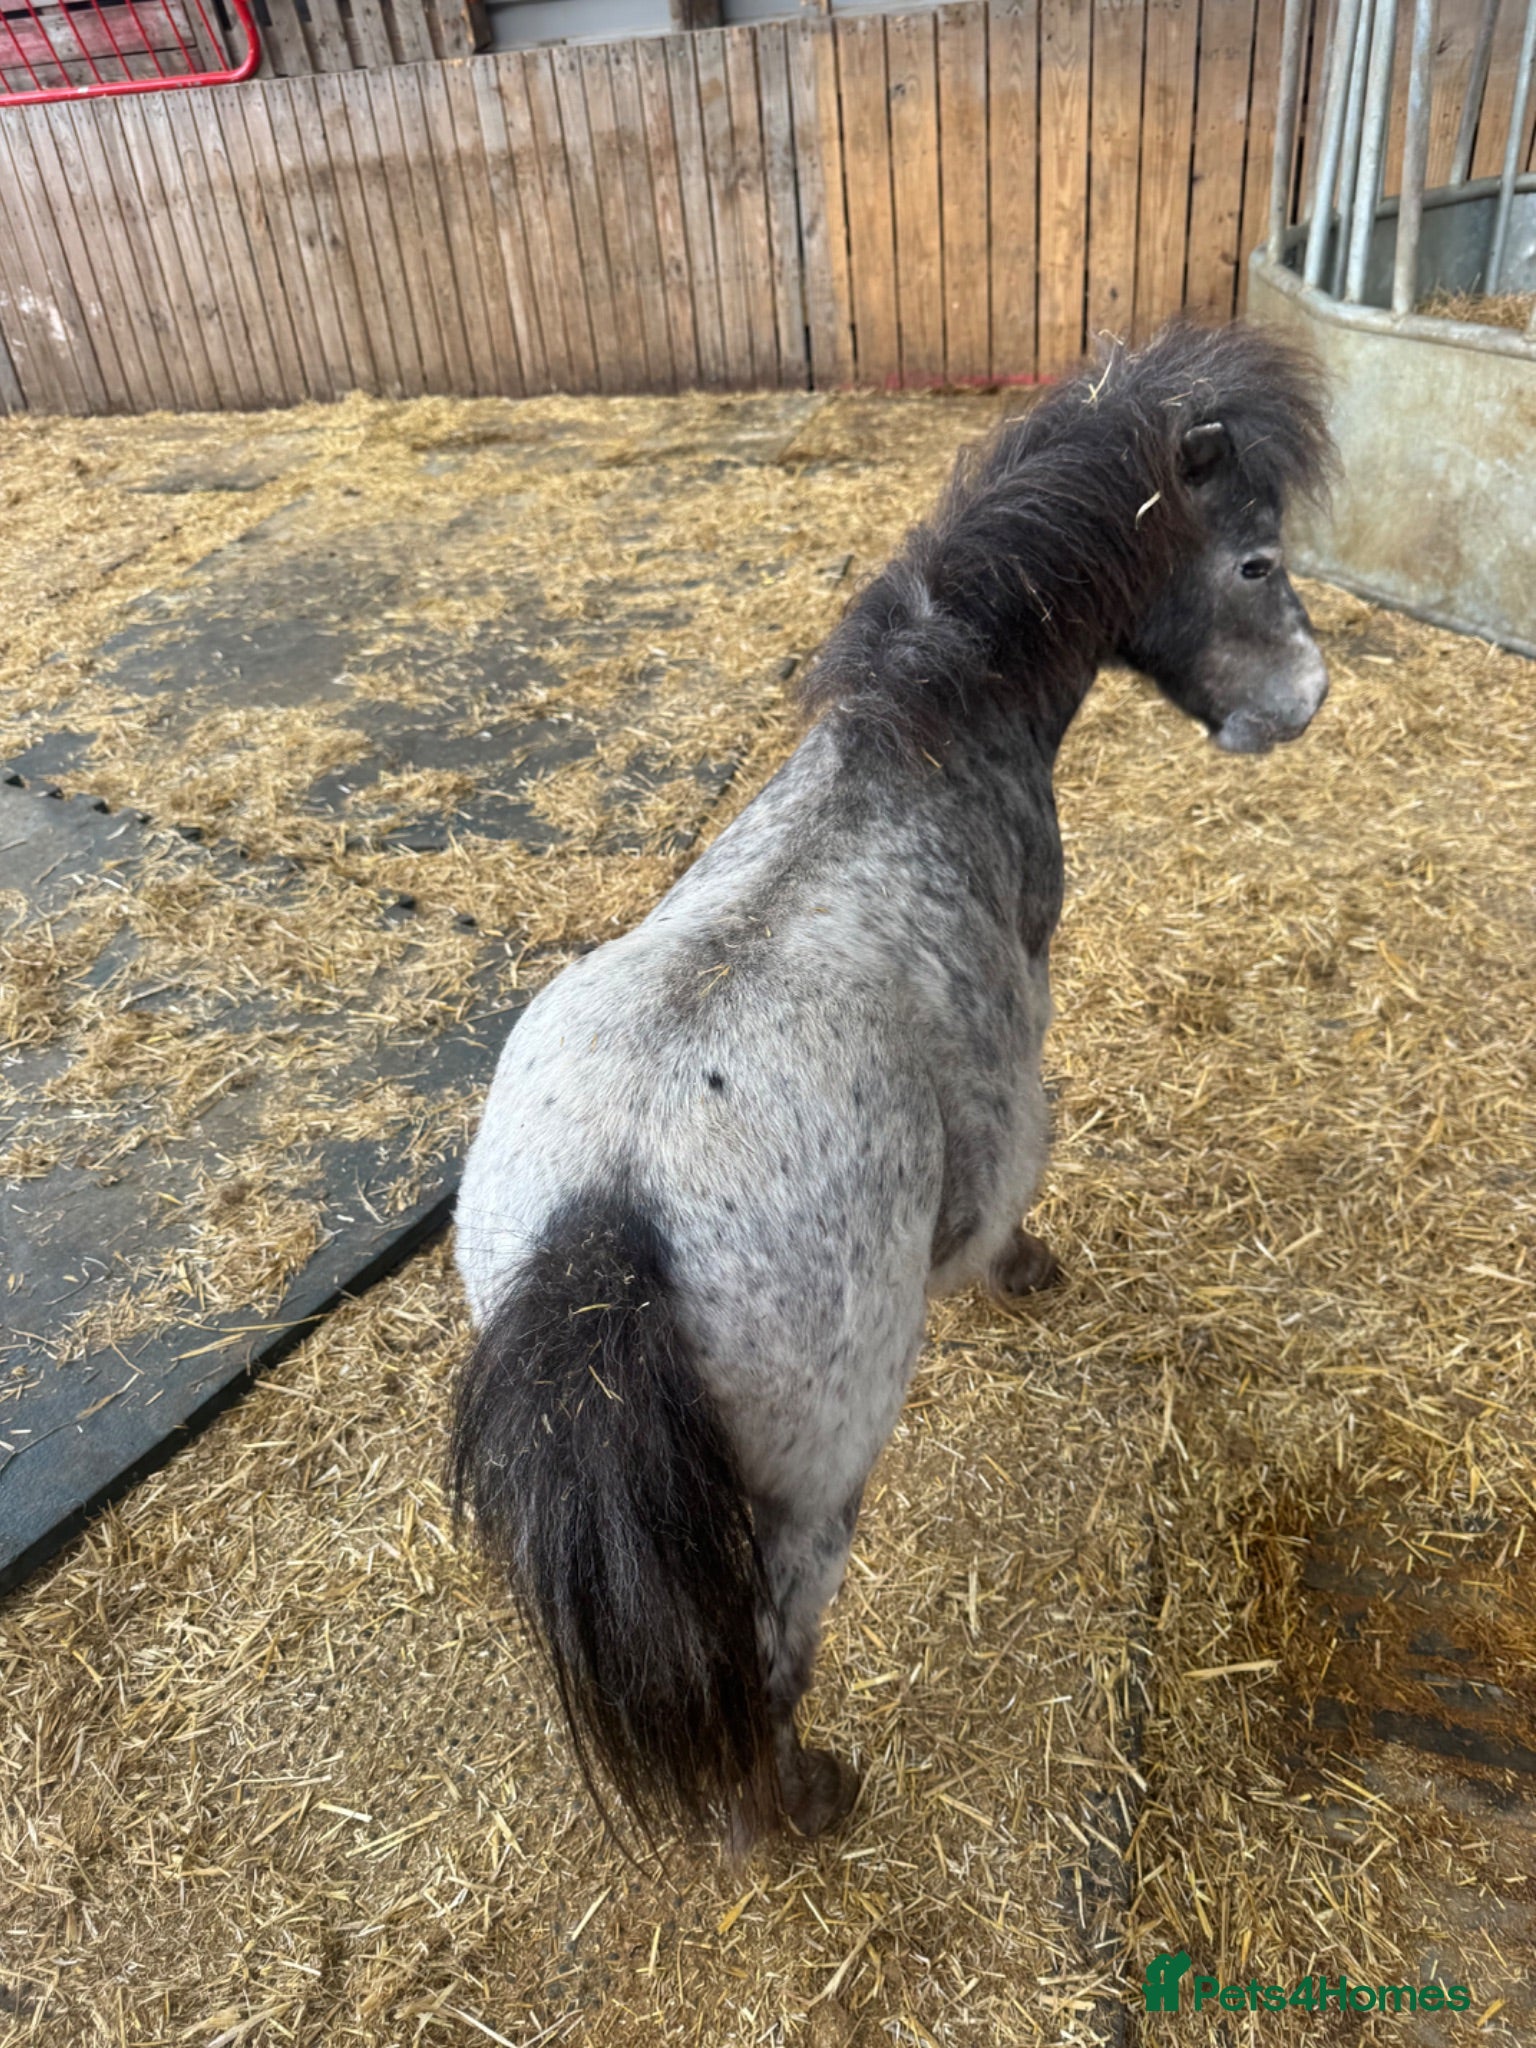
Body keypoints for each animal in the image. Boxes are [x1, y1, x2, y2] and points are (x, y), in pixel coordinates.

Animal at [449, 320, 1335, 1851]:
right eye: (1256, 561)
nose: (1305, 699)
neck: (921, 729)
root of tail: (610, 1215)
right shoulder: (1022, 1002)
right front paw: (1018, 1267)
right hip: (811, 1495)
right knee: (762, 1667)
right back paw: (803, 1803)